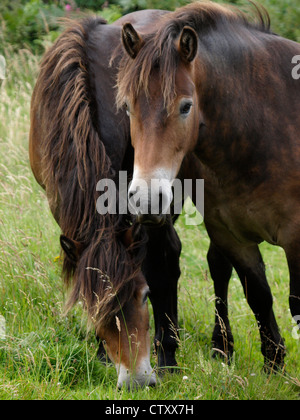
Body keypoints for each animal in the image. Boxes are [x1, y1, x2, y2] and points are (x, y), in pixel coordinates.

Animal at [117, 1, 300, 370]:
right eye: (128, 106)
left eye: (186, 106)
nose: (147, 199)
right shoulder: (232, 236)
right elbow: (259, 295)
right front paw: (273, 363)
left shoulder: (297, 237)